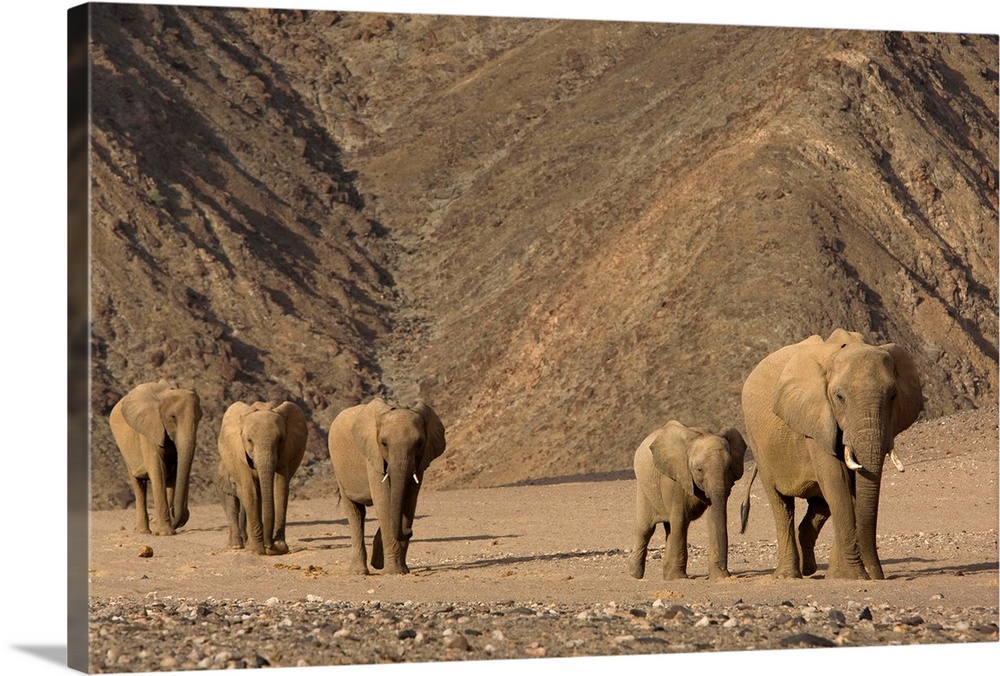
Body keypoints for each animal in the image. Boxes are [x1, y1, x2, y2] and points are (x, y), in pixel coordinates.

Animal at [110, 380, 203, 532]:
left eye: (199, 418)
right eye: (172, 417)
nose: (176, 513)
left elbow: (174, 471)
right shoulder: (149, 428)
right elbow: (158, 468)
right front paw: (165, 532)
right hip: (125, 451)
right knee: (138, 484)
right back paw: (143, 532)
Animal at [218, 402, 308, 556]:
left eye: (280, 440)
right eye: (249, 440)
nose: (270, 546)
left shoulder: (285, 452)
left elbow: (280, 488)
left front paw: (280, 548)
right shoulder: (240, 455)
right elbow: (250, 491)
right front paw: (256, 551)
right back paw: (241, 546)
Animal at [328, 396, 446, 576]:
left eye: (420, 443)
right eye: (383, 443)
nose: (409, 531)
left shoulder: (420, 462)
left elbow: (409, 502)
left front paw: (400, 570)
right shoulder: (373, 456)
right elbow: (384, 501)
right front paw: (393, 572)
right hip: (338, 469)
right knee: (355, 511)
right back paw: (358, 572)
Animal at [628, 418, 748, 580]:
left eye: (729, 467)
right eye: (699, 469)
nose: (724, 567)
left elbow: (713, 519)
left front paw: (720, 577)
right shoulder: (674, 477)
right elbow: (680, 519)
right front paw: (678, 578)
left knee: (669, 528)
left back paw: (665, 576)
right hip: (643, 489)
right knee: (645, 529)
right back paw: (635, 575)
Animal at [744, 330, 920, 580]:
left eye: (893, 395)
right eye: (839, 397)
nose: (879, 576)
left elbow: (850, 491)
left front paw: (840, 576)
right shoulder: (816, 420)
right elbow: (838, 481)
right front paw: (853, 577)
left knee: (820, 504)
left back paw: (809, 569)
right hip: (758, 444)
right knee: (781, 503)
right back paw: (788, 576)